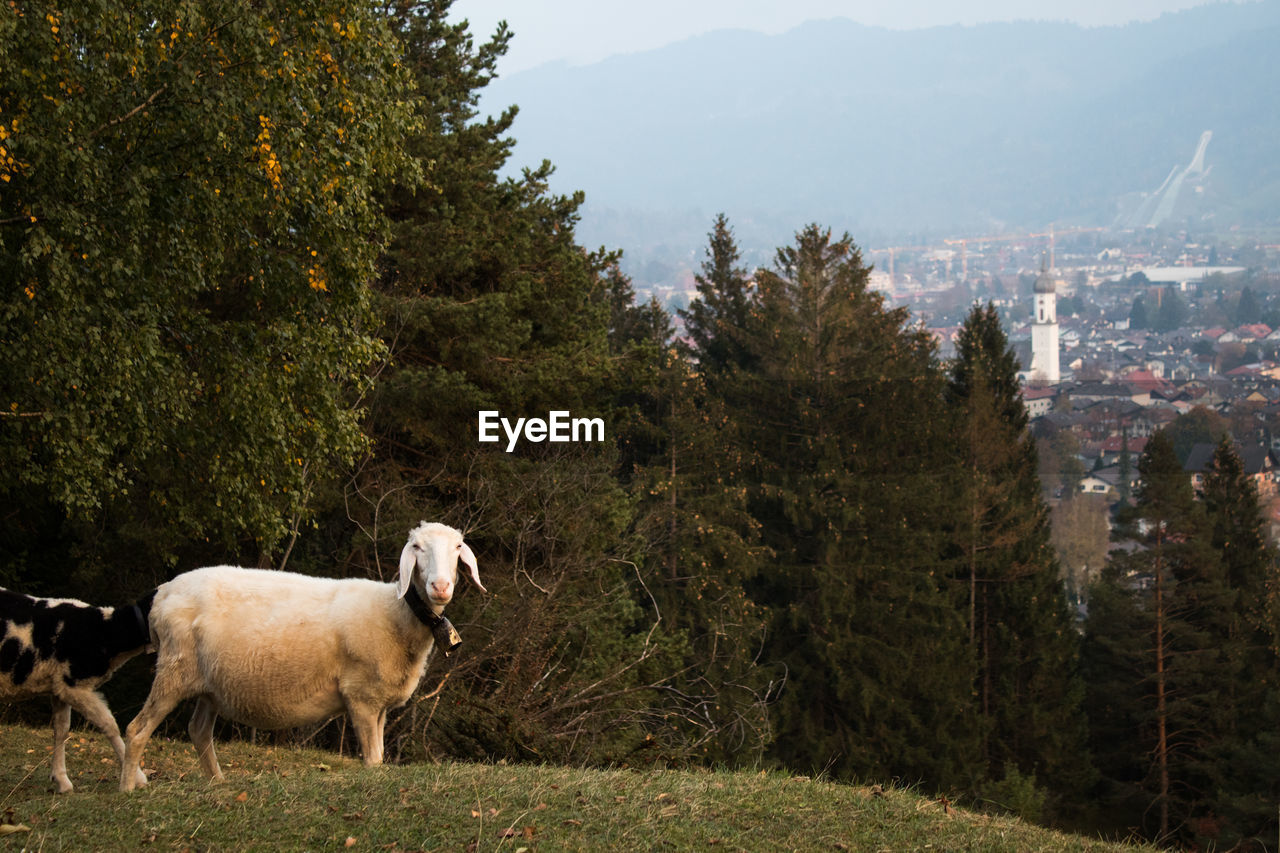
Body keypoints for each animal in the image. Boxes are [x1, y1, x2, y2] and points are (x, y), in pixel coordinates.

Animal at [0, 584, 155, 788]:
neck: (104, 633)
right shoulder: (72, 685)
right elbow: (109, 724)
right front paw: (138, 777)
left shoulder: (58, 686)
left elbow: (61, 729)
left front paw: (61, 780)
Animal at [120, 517, 483, 788]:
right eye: (418, 547)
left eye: (457, 547)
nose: (440, 587)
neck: (395, 613)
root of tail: (162, 594)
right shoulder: (362, 697)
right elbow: (373, 759)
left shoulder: (379, 702)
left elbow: (378, 756)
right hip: (174, 669)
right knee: (136, 730)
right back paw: (128, 789)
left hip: (210, 684)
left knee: (198, 731)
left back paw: (217, 783)